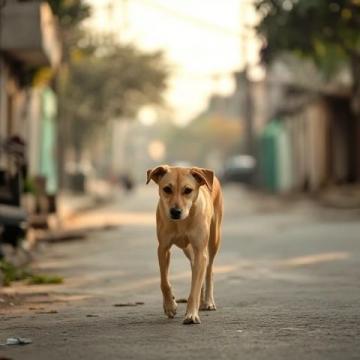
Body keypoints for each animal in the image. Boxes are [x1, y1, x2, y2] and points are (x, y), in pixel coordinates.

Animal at [146, 166, 222, 326]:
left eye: (188, 190)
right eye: (167, 189)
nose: (175, 211)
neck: (182, 222)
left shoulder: (200, 250)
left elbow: (195, 288)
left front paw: (191, 314)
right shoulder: (163, 248)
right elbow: (164, 281)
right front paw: (170, 306)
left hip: (214, 238)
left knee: (208, 269)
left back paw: (208, 301)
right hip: (188, 249)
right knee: (196, 266)